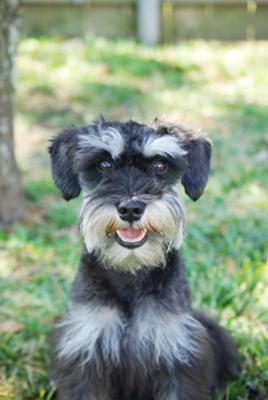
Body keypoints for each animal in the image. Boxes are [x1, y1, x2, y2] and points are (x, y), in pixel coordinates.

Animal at [48, 117, 241, 400]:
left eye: (159, 165)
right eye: (104, 164)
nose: (131, 208)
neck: (131, 271)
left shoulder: (178, 353)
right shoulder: (85, 348)